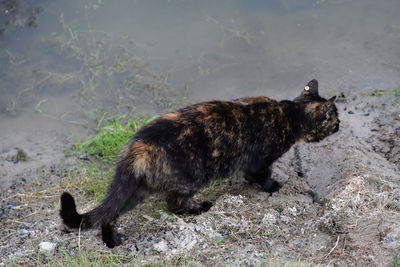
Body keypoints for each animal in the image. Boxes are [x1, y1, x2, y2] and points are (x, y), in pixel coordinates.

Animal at [61, 79, 340, 249]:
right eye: (335, 118)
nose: (340, 126)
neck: (288, 114)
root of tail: (137, 146)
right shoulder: (258, 162)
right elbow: (262, 176)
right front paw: (275, 187)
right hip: (191, 177)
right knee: (174, 204)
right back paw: (201, 208)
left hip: (137, 188)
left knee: (111, 213)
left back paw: (112, 240)